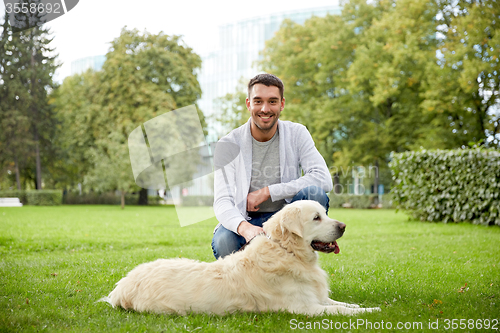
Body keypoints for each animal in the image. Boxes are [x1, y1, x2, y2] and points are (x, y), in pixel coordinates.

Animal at [102, 198, 382, 316]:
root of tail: (121, 286)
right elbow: (341, 311)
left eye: (324, 213)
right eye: (316, 218)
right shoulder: (304, 308)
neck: (287, 252)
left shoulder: (316, 298)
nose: (344, 226)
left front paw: (365, 306)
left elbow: (341, 304)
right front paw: (373, 311)